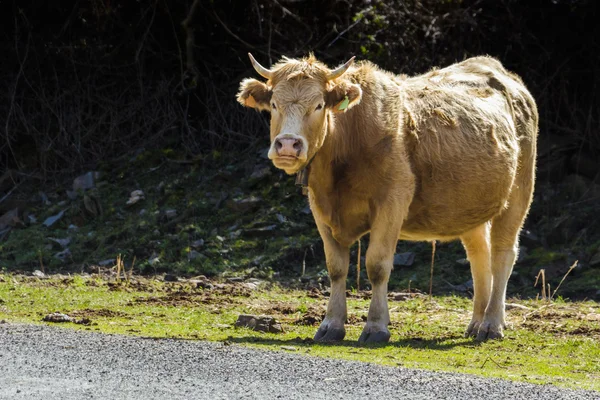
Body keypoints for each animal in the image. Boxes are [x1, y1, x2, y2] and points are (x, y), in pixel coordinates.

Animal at [237, 51, 536, 342]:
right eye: (274, 104)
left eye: (319, 105)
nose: (288, 144)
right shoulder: (320, 206)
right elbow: (336, 267)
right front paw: (331, 324)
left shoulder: (392, 201)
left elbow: (377, 265)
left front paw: (376, 326)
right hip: (470, 208)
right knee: (479, 256)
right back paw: (476, 323)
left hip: (519, 193)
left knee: (502, 254)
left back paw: (492, 324)